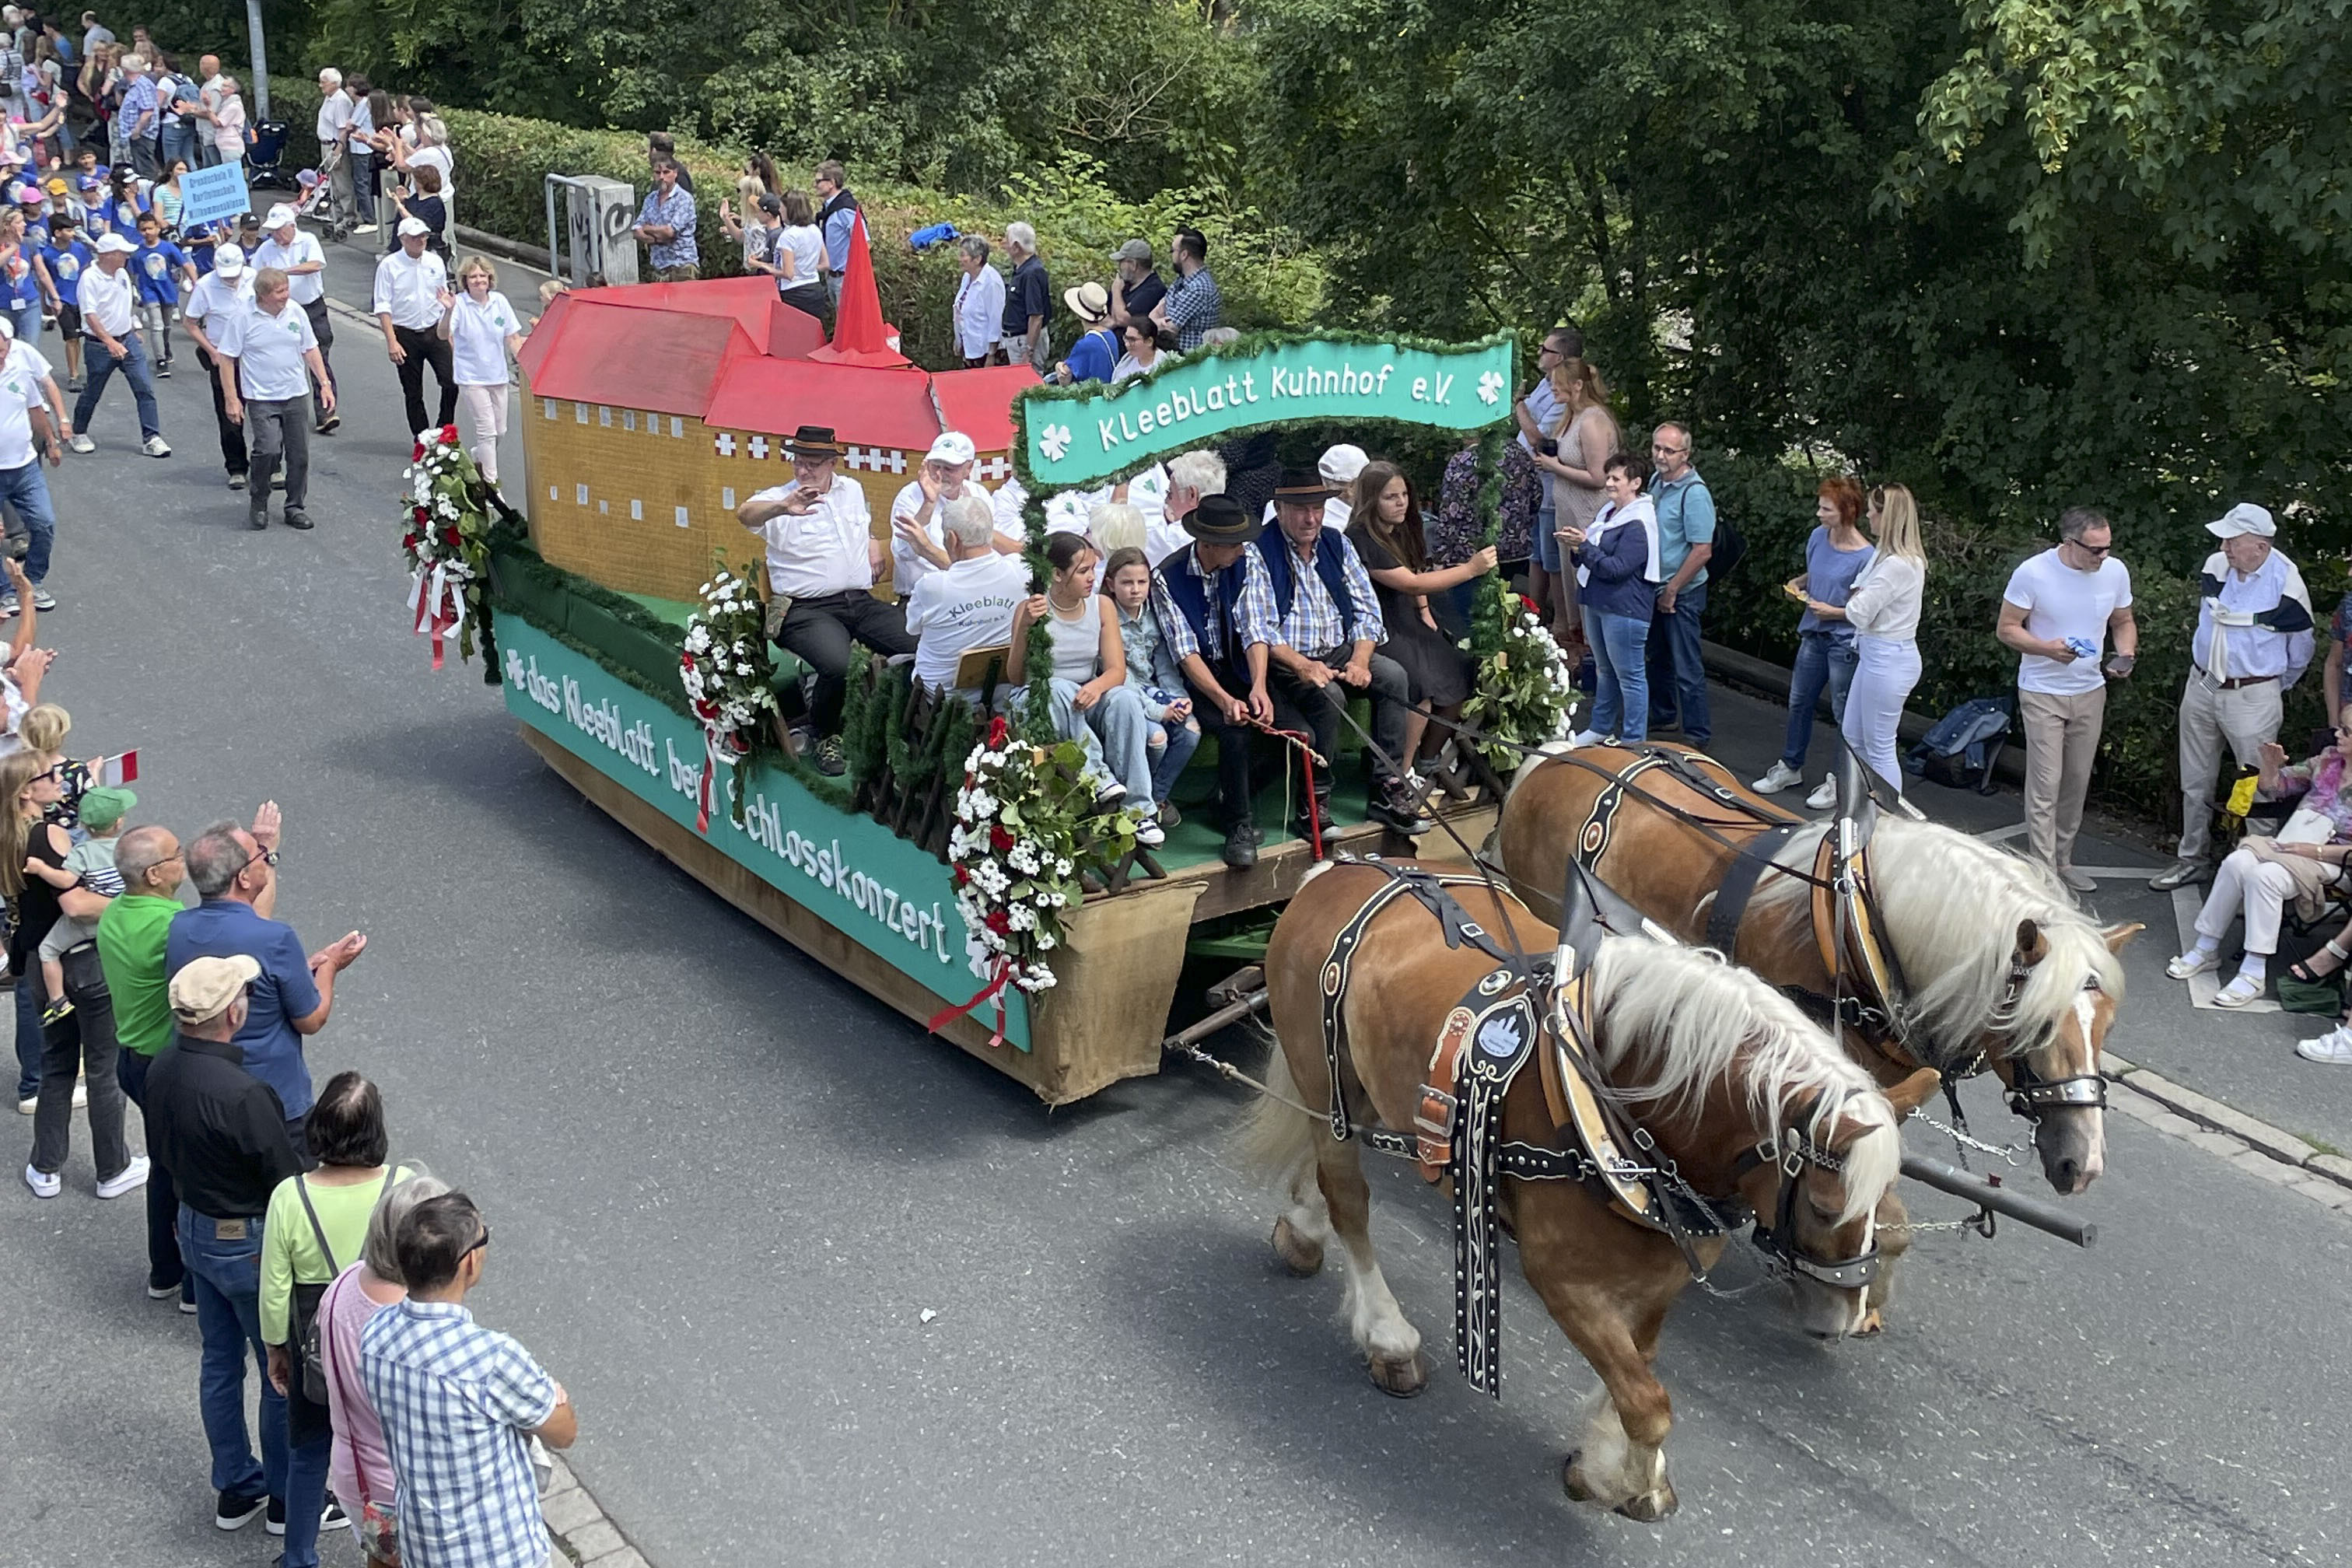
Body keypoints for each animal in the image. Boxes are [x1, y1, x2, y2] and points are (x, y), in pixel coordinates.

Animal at [1241, 860, 1937, 1523]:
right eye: (1824, 1206)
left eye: (1887, 1198)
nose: (1847, 1316)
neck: (1623, 1102)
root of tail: (1335, 872)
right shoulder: (1562, 1280)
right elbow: (1649, 1403)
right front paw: (1625, 1480)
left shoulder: (1662, 1272)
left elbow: (1641, 1368)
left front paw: (1608, 1461)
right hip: (1321, 1075)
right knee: (1348, 1198)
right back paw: (1388, 1336)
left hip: (1357, 1093)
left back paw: (1302, 1230)